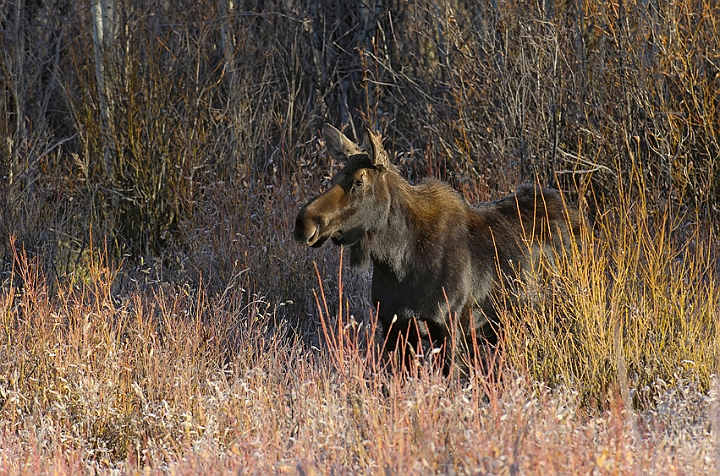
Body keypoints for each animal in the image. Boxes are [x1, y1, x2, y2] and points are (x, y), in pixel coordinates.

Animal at [292, 123, 580, 376]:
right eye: (334, 177)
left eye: (359, 182)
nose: (304, 223)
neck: (396, 262)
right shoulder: (393, 326)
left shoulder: (450, 326)